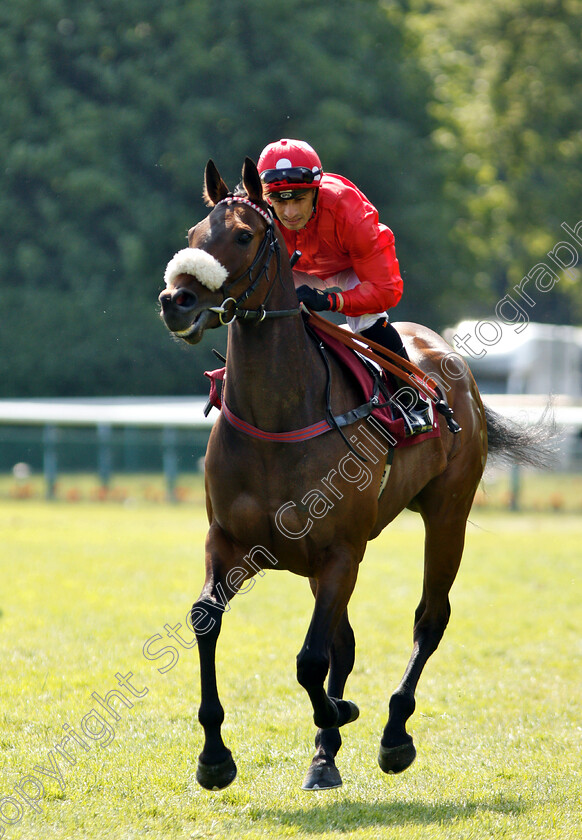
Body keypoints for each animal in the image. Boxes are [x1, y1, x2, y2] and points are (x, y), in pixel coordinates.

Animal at [157, 158, 544, 796]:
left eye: (243, 235)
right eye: (192, 234)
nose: (176, 300)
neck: (279, 418)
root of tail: (451, 362)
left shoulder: (341, 550)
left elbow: (310, 661)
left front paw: (341, 715)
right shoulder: (230, 542)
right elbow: (206, 620)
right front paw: (215, 755)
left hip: (447, 515)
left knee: (428, 620)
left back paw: (394, 733)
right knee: (346, 639)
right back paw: (327, 751)